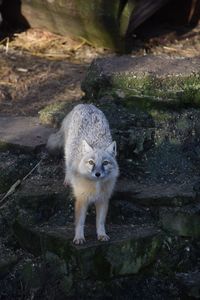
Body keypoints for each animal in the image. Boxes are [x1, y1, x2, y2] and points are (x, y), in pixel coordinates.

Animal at [47, 104, 119, 245]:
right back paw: (68, 179)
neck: (96, 187)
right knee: (67, 165)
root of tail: (85, 105)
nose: (97, 174)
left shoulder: (103, 199)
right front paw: (79, 237)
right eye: (91, 162)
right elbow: (80, 223)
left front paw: (101, 234)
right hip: (67, 151)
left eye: (105, 163)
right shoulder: (81, 199)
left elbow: (100, 222)